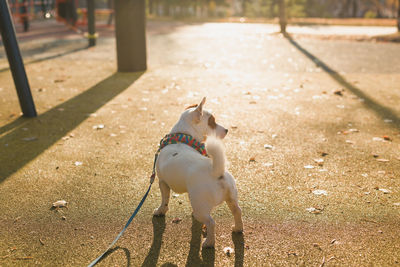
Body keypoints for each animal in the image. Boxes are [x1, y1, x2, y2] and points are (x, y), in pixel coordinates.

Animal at [154, 97, 244, 248]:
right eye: (212, 122)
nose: (226, 130)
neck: (182, 138)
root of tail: (216, 172)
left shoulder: (163, 182)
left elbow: (164, 200)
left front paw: (160, 211)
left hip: (200, 208)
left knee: (211, 222)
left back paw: (209, 242)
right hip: (231, 198)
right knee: (237, 211)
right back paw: (238, 228)